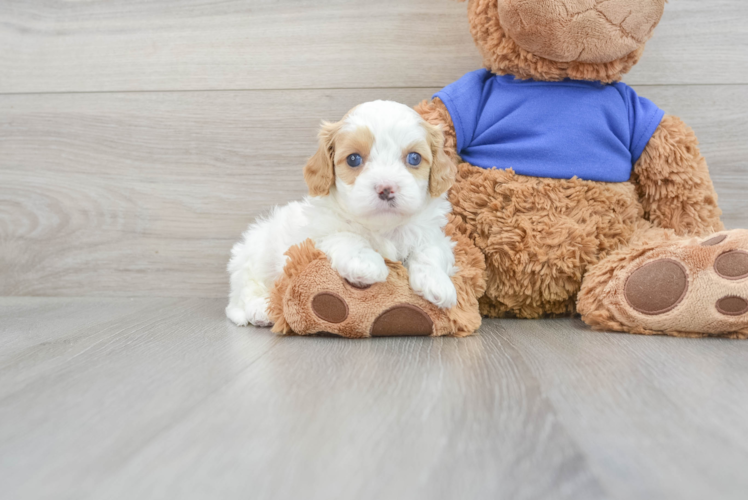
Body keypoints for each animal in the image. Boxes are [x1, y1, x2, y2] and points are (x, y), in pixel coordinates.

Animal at [225, 100, 458, 328]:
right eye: (353, 159)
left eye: (414, 158)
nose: (386, 188)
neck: (383, 227)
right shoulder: (315, 234)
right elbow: (345, 236)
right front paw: (365, 262)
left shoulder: (432, 233)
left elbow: (430, 250)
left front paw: (437, 282)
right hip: (256, 253)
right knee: (244, 290)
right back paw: (260, 309)